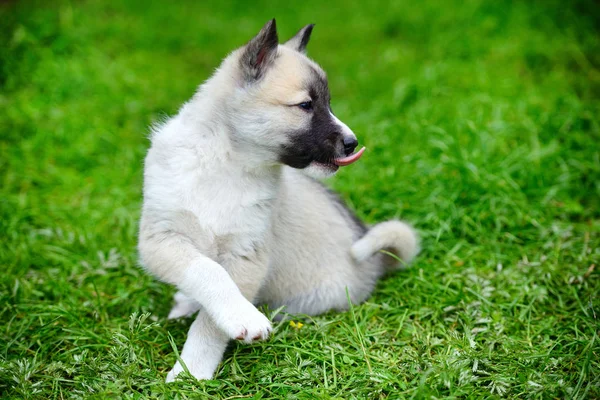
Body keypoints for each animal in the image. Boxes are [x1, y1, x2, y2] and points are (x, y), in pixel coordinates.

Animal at [138, 19, 420, 382]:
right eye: (306, 105)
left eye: (328, 103)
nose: (352, 143)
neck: (225, 162)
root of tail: (375, 262)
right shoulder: (161, 239)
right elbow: (207, 272)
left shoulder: (247, 256)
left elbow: (209, 322)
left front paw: (193, 370)